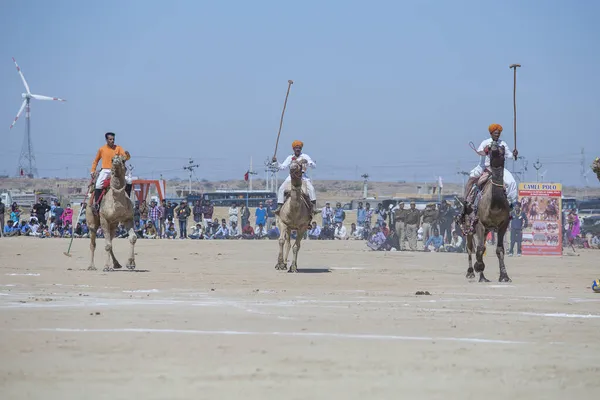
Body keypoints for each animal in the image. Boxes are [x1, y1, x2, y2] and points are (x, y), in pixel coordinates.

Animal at [460, 142, 510, 282]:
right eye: (490, 150)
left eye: (502, 151)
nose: (496, 152)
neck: (495, 204)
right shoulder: (479, 224)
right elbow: (479, 249)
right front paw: (478, 266)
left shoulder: (503, 225)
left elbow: (499, 249)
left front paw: (504, 276)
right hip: (469, 226)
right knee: (470, 248)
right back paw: (471, 272)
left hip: (487, 229)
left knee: (480, 247)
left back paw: (483, 277)